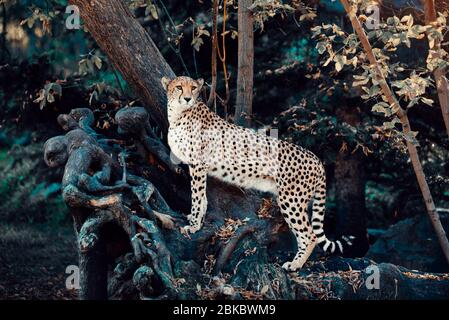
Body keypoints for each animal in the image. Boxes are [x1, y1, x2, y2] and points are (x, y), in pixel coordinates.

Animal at [161, 76, 354, 272]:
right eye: (179, 87)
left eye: (193, 88)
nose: (187, 98)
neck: (178, 114)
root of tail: (316, 158)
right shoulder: (199, 167)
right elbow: (202, 198)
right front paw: (196, 221)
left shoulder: (198, 165)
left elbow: (197, 196)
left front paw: (193, 226)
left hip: (291, 199)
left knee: (309, 235)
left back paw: (294, 264)